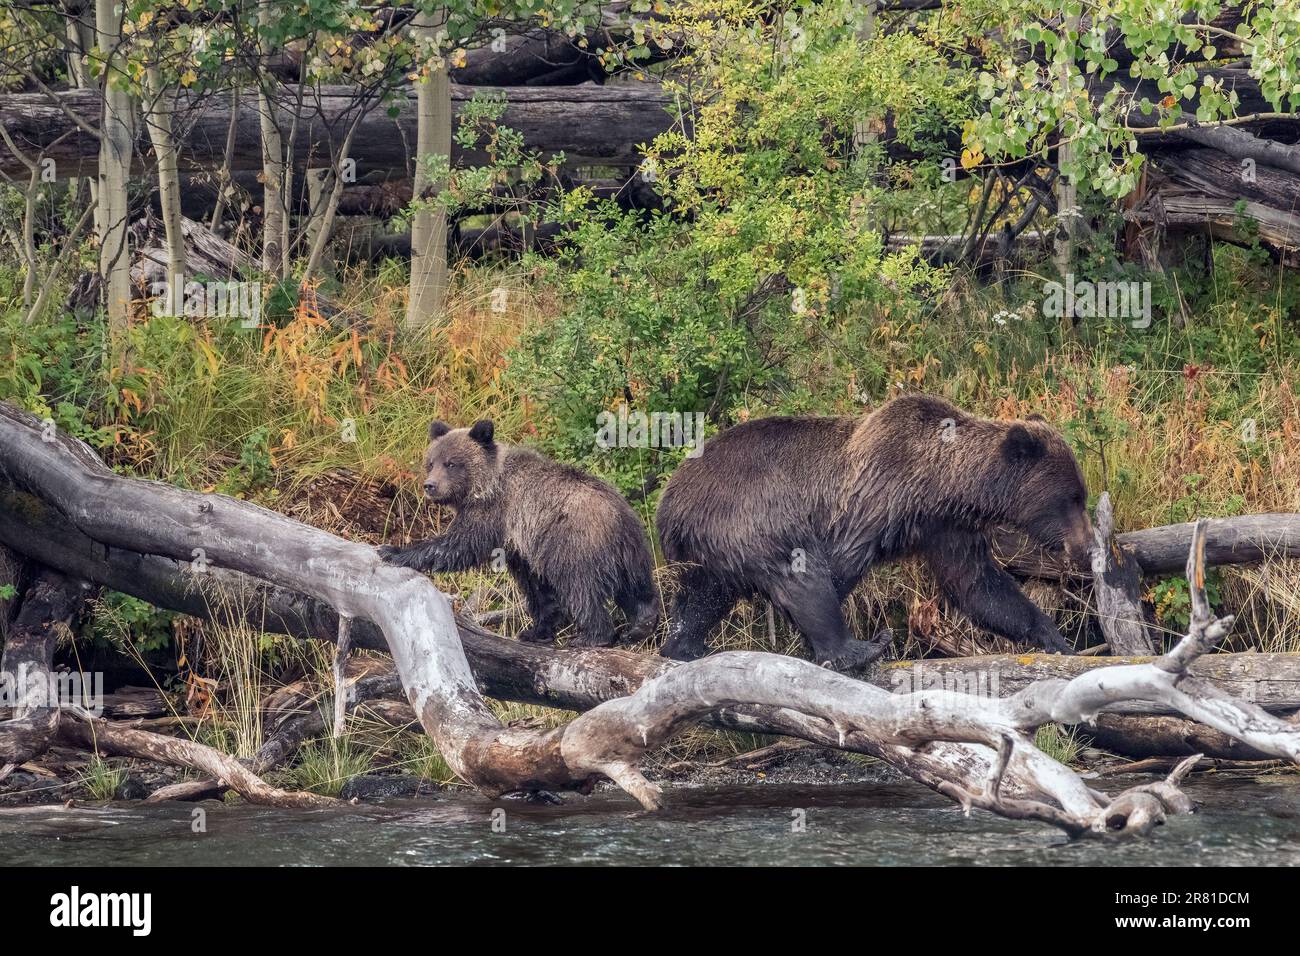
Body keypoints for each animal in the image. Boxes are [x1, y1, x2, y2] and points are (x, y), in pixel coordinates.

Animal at [379, 419, 660, 648]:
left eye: (451, 463)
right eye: (431, 462)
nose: (430, 486)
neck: (486, 484)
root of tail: (621, 516)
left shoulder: (494, 511)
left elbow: (459, 545)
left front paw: (393, 551)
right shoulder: (520, 543)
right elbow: (535, 586)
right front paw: (537, 630)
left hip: (576, 543)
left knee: (580, 588)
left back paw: (592, 636)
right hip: (632, 553)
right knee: (637, 589)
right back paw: (640, 626)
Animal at [655, 394, 1092, 670]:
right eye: (1071, 498)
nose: (1086, 548)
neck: (939, 486)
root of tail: (669, 500)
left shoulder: (946, 528)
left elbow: (977, 584)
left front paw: (1054, 637)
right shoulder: (874, 496)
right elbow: (837, 563)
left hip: (708, 547)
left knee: (703, 596)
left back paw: (684, 646)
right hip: (749, 513)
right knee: (796, 570)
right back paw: (859, 648)